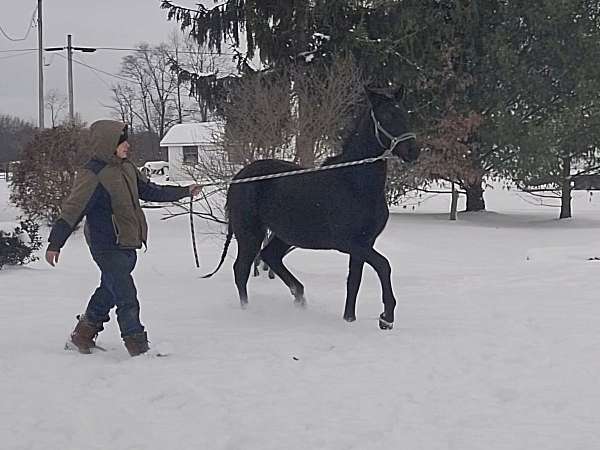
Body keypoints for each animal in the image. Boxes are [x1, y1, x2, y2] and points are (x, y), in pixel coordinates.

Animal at [209, 86, 420, 328]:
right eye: (386, 116)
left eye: (405, 113)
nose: (413, 151)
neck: (354, 183)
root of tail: (238, 177)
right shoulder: (347, 242)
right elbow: (384, 265)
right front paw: (386, 317)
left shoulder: (365, 243)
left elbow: (354, 281)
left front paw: (349, 319)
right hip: (250, 233)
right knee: (242, 269)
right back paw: (248, 311)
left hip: (285, 234)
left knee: (270, 256)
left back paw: (299, 296)